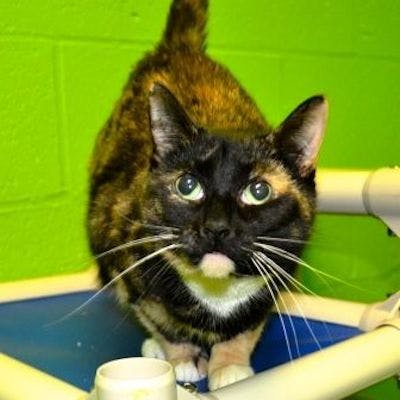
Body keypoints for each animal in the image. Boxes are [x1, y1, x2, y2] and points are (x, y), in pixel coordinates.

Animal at [87, 0, 328, 391]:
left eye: (258, 191)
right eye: (187, 186)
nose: (216, 227)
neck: (218, 292)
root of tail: (179, 47)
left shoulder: (280, 269)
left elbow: (247, 327)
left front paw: (229, 365)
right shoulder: (123, 253)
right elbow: (160, 319)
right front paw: (181, 358)